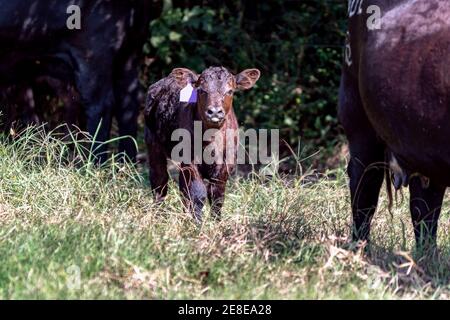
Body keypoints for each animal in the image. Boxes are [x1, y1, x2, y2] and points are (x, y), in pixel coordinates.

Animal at [0, 0, 162, 161]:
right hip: (130, 51)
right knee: (128, 102)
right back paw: (125, 164)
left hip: (93, 51)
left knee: (100, 105)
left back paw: (93, 163)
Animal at [145, 66, 260, 221]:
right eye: (201, 90)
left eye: (230, 91)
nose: (215, 112)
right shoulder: (190, 160)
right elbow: (197, 193)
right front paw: (197, 223)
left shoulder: (226, 164)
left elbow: (217, 195)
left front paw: (216, 221)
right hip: (153, 143)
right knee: (159, 180)